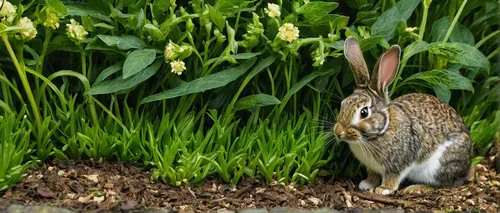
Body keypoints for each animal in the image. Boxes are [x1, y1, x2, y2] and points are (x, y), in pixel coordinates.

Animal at [334, 35, 474, 196]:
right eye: (343, 104)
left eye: (364, 112)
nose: (338, 132)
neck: (381, 130)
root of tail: (467, 166)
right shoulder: (372, 166)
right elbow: (373, 174)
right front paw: (367, 184)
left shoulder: (398, 163)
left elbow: (393, 176)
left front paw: (383, 189)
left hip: (439, 166)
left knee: (446, 184)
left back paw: (416, 188)